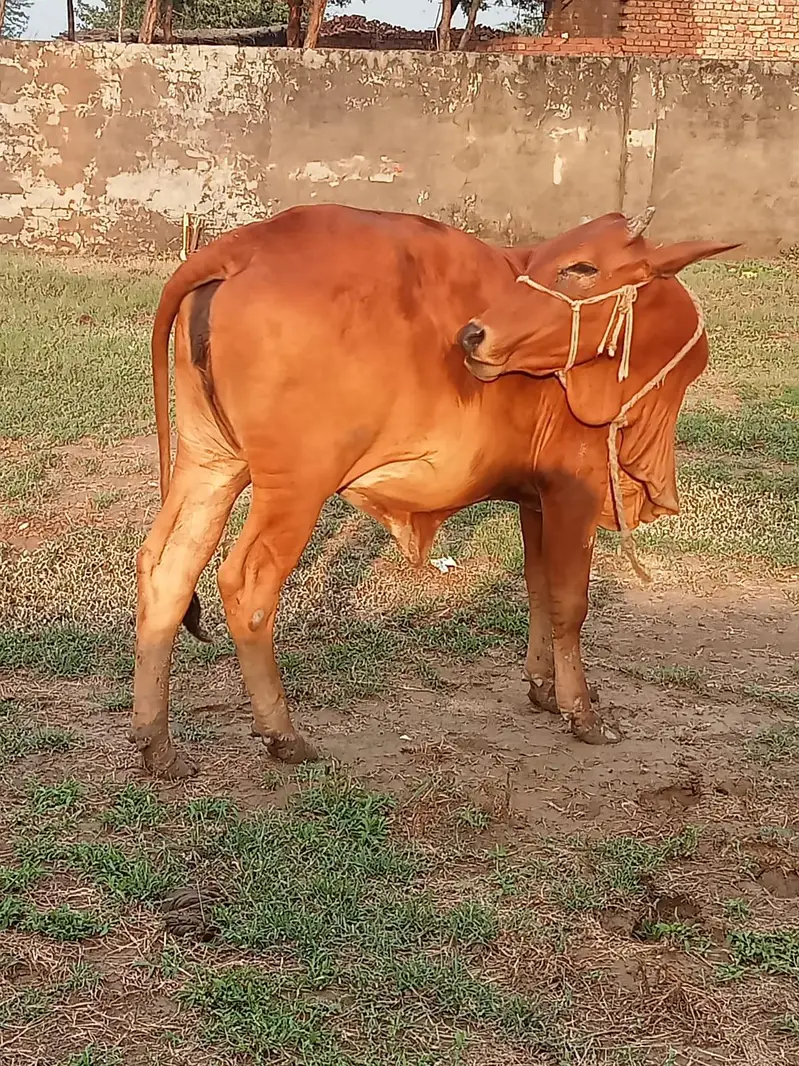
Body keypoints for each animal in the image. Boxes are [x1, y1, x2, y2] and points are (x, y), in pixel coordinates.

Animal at [132, 204, 735, 778]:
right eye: (567, 263)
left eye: (582, 267)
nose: (473, 335)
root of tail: (243, 245)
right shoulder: (574, 491)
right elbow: (570, 603)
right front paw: (583, 713)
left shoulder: (536, 497)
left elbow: (538, 589)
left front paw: (543, 689)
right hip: (297, 483)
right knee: (246, 584)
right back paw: (282, 735)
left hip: (210, 460)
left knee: (167, 567)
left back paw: (156, 744)